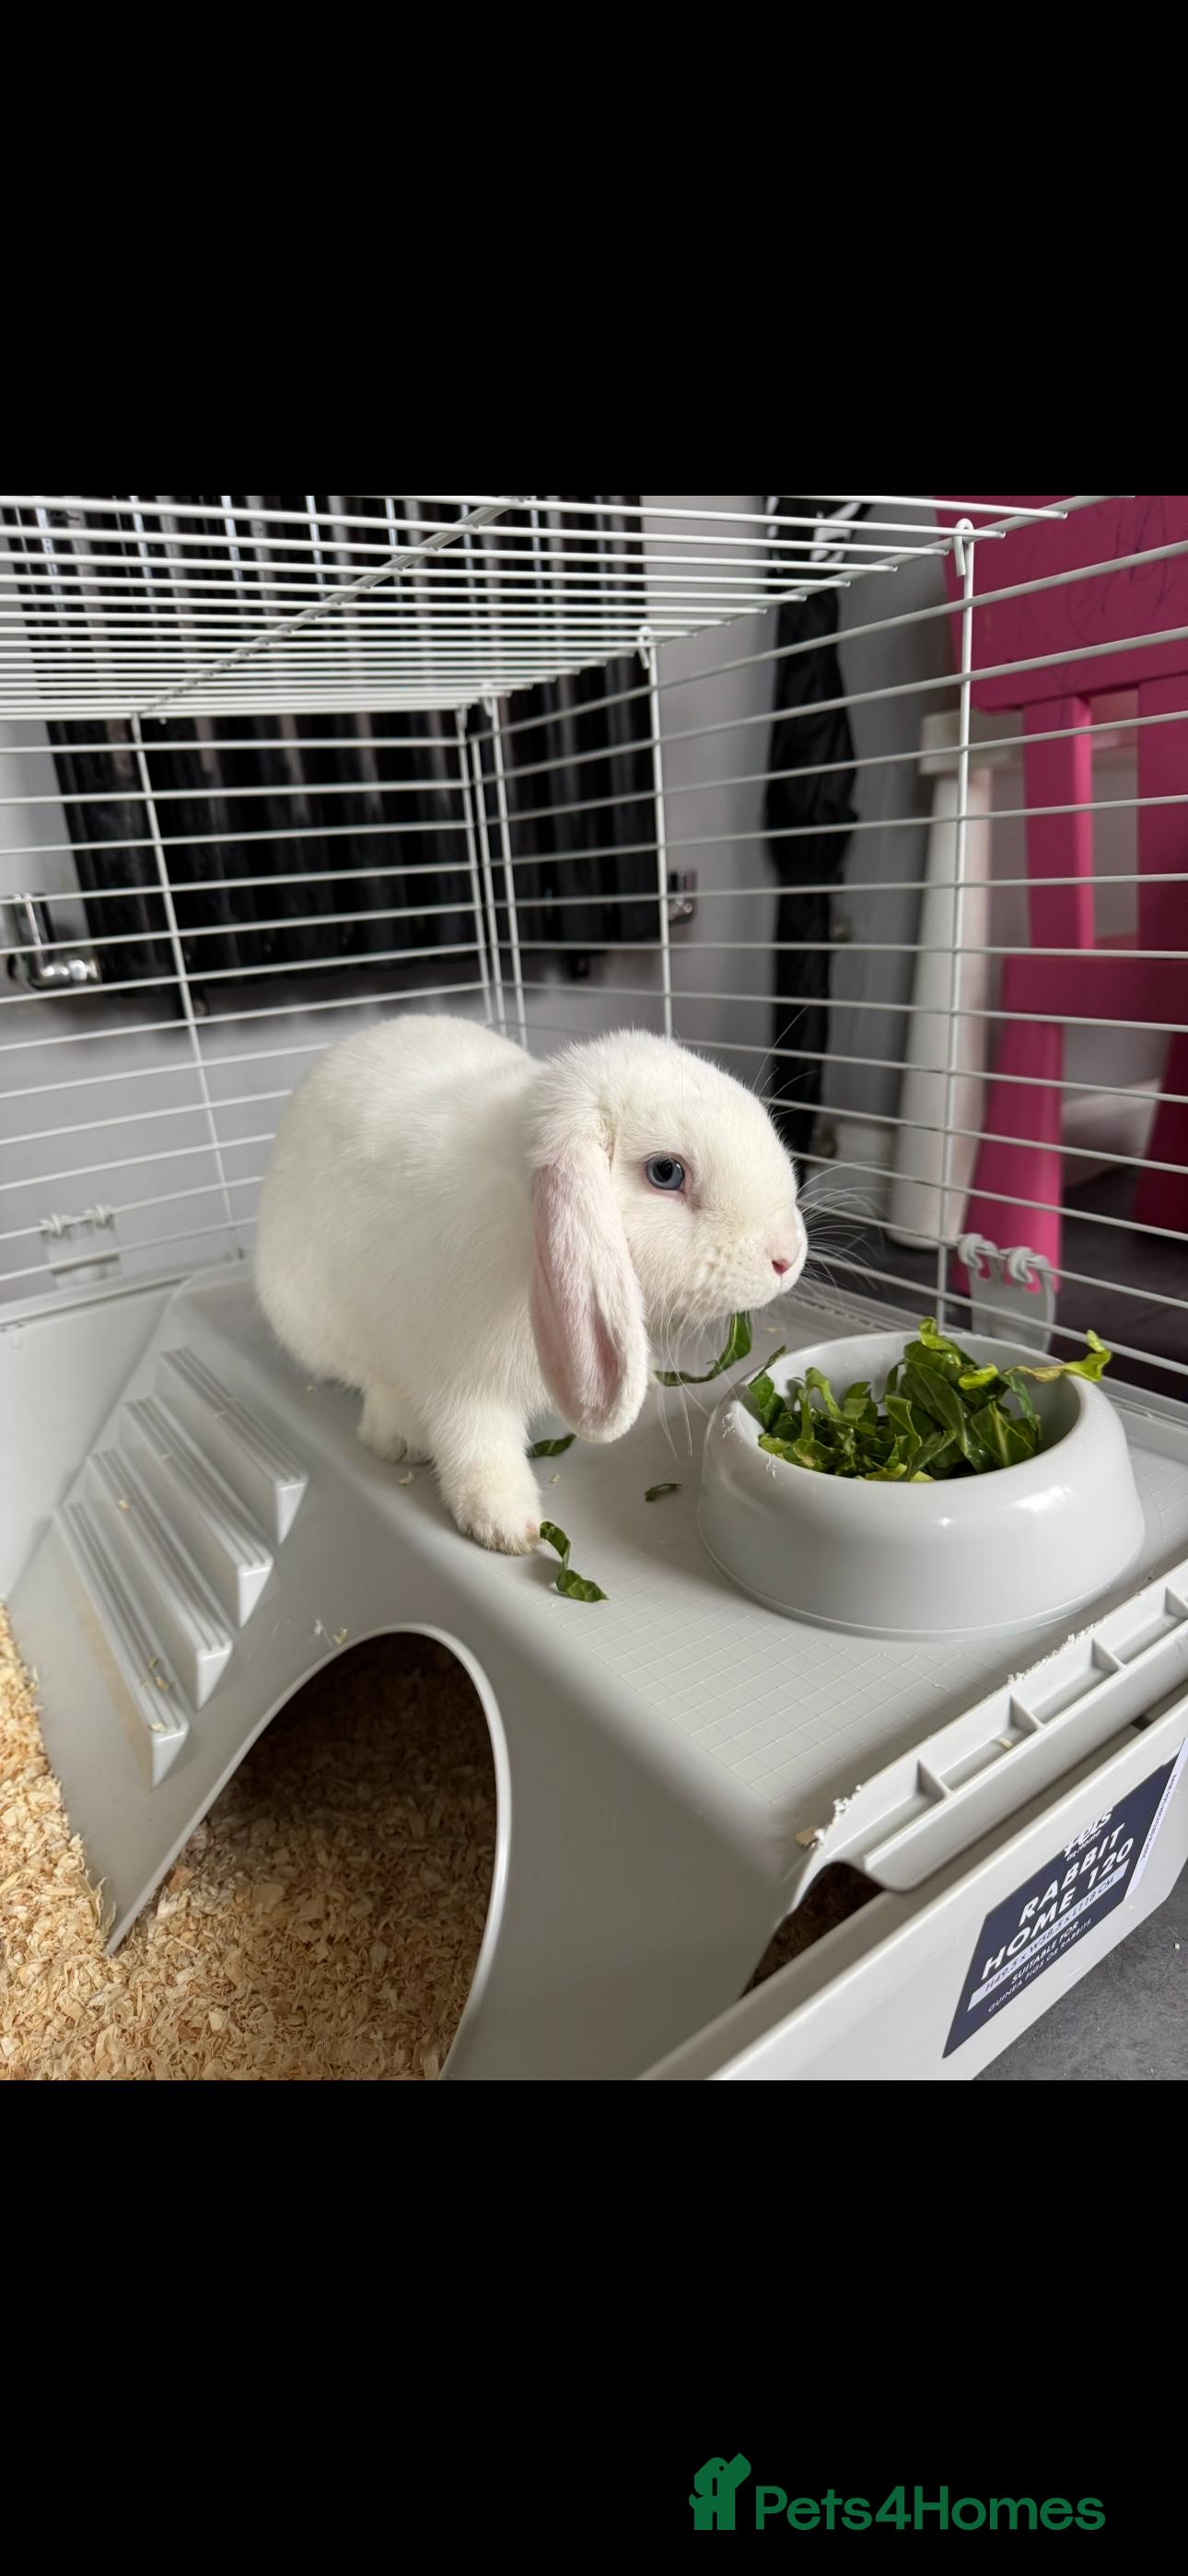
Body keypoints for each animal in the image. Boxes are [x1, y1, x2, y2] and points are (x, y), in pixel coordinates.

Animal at [255, 1015, 806, 1555]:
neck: (522, 1218)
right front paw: (507, 1526)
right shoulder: (460, 1380)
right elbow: (477, 1447)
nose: (787, 1256)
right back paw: (397, 1437)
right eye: (666, 1172)